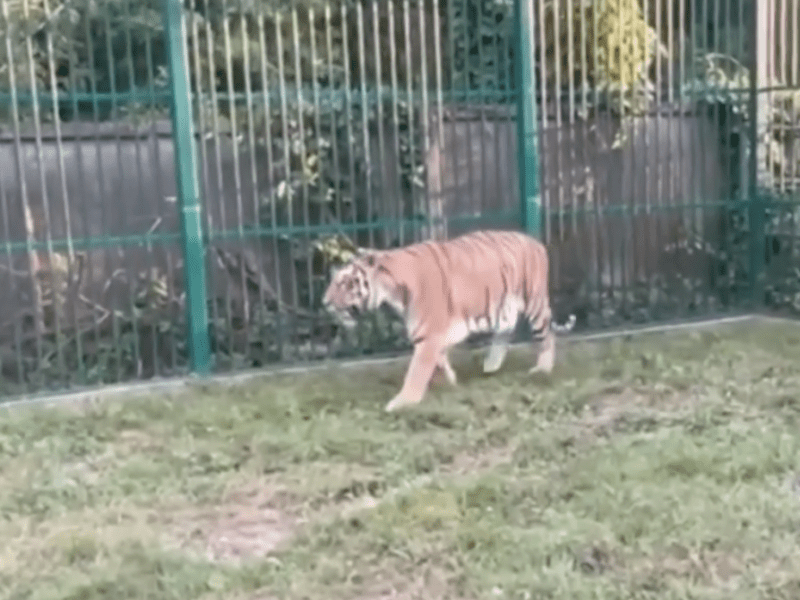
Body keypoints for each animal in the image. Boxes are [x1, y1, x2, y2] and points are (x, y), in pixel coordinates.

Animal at [320, 230, 576, 412]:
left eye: (345, 283)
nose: (325, 302)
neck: (392, 289)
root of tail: (536, 241)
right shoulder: (432, 335)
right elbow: (440, 361)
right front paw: (452, 382)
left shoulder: (428, 335)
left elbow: (416, 373)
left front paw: (402, 403)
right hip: (504, 307)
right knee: (506, 330)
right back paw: (491, 364)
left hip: (533, 301)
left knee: (546, 335)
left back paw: (542, 369)